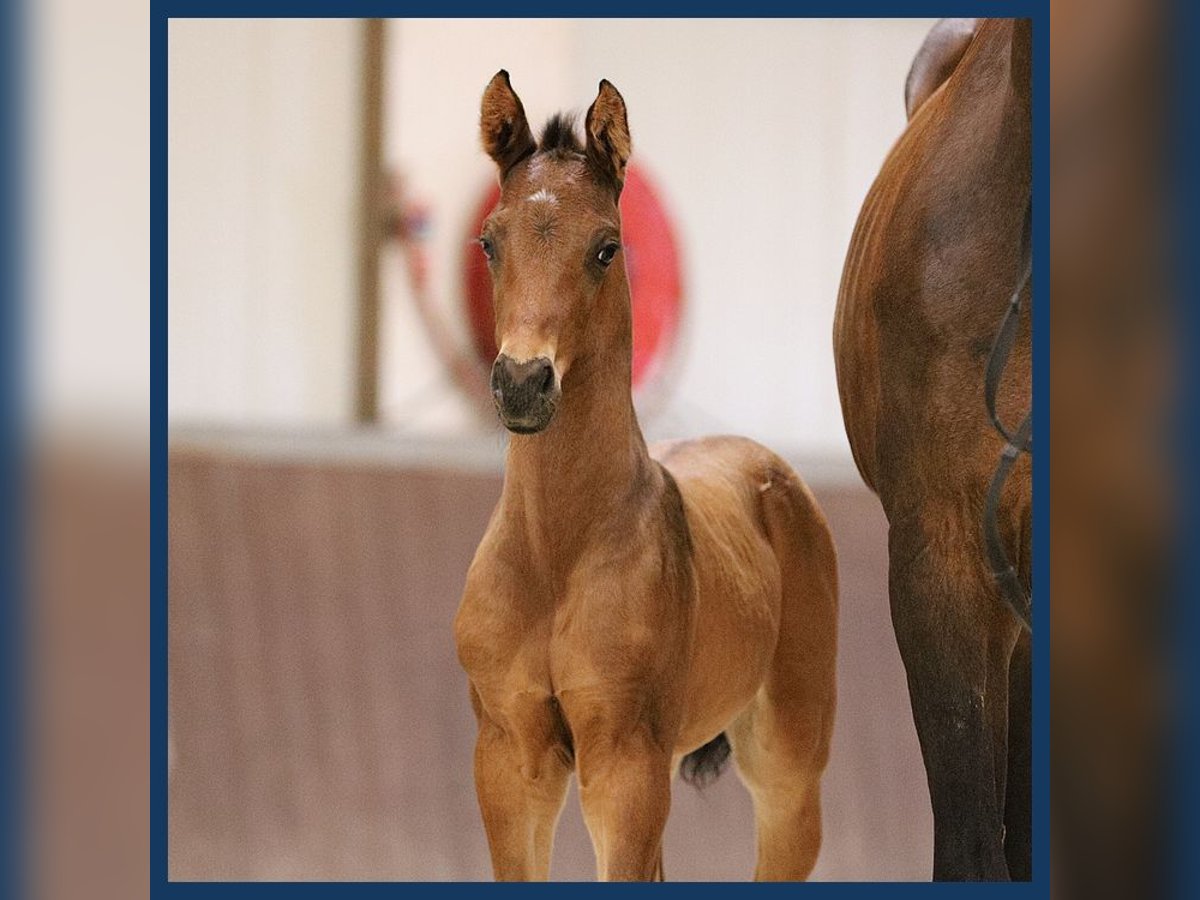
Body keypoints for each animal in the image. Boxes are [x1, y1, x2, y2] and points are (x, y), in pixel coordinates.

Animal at [453, 74, 840, 883]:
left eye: (606, 248)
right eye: (488, 242)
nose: (523, 383)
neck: (556, 555)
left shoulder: (624, 765)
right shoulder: (509, 759)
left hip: (788, 769)